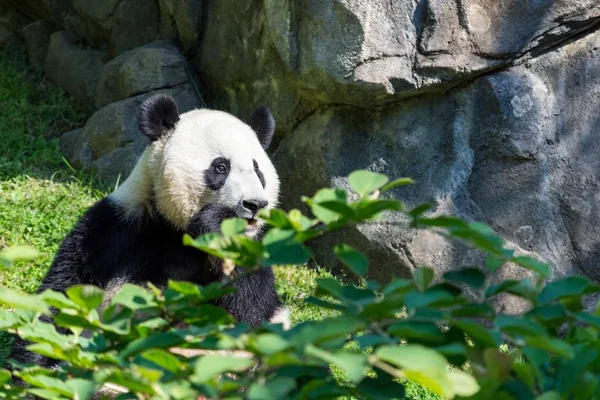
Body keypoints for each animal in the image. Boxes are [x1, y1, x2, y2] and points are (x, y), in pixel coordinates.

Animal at [8, 94, 290, 368]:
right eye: (221, 167)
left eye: (258, 170)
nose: (255, 204)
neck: (177, 230)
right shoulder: (113, 229)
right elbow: (65, 295)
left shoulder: (259, 248)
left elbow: (246, 313)